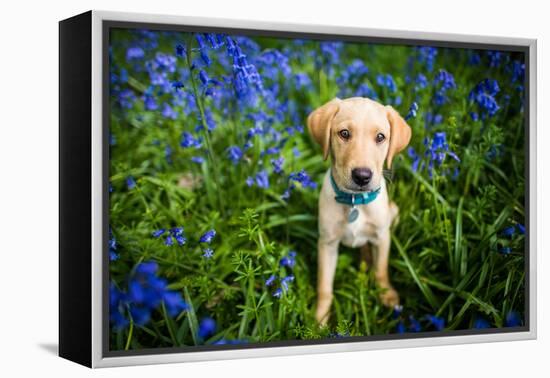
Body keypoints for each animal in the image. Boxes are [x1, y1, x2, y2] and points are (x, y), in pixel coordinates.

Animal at [308, 96, 412, 324]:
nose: (362, 176)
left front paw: (387, 295)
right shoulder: (327, 243)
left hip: (394, 212)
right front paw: (319, 319)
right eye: (344, 133)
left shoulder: (382, 237)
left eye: (380, 137)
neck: (355, 201)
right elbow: (324, 286)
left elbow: (381, 269)